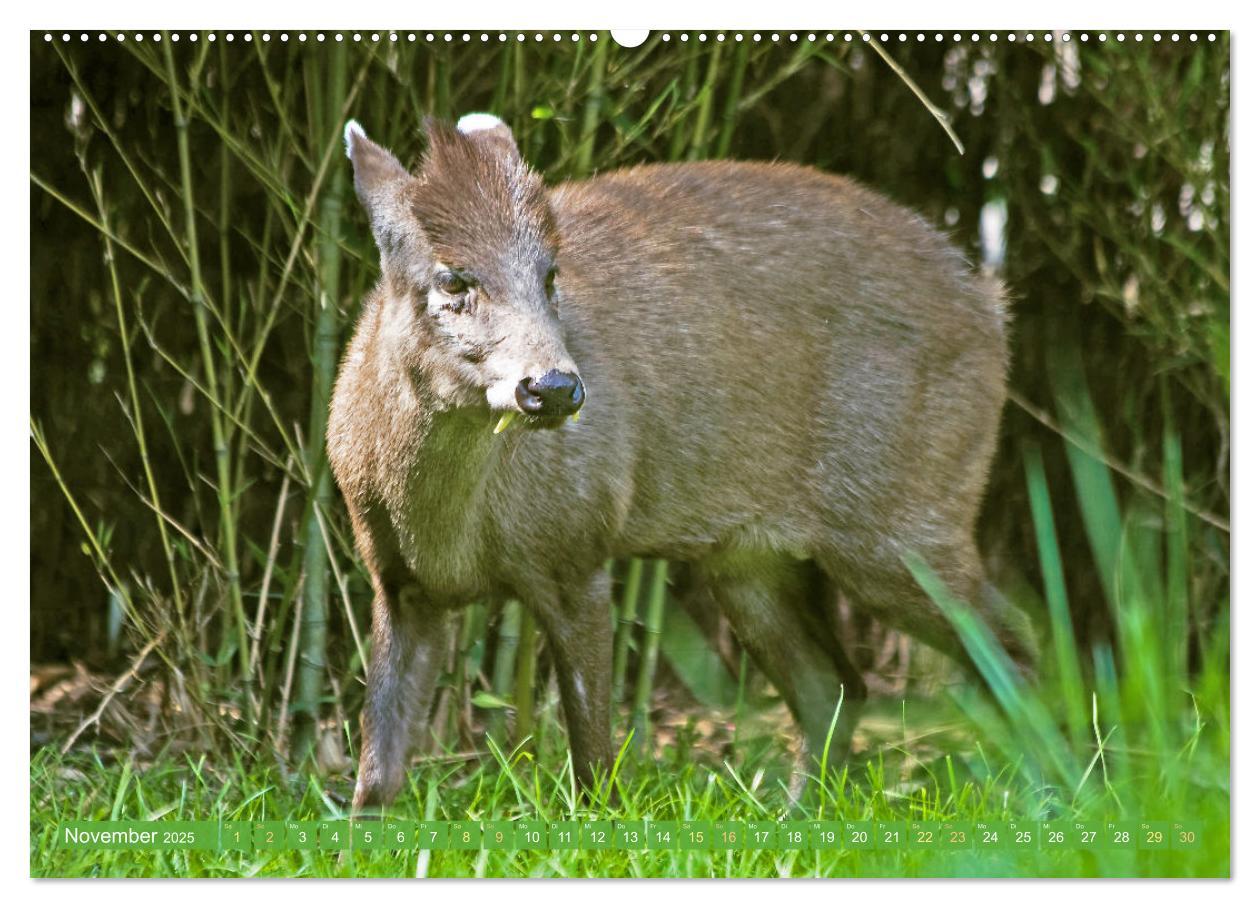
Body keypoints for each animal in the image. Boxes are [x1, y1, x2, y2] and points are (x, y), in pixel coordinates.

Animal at [330, 111, 1038, 805]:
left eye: (551, 273)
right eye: (452, 277)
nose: (554, 386)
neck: (445, 528)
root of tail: (991, 307)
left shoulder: (576, 549)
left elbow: (595, 768)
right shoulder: (395, 579)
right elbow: (376, 776)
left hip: (906, 517)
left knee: (1014, 647)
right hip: (751, 558)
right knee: (834, 684)